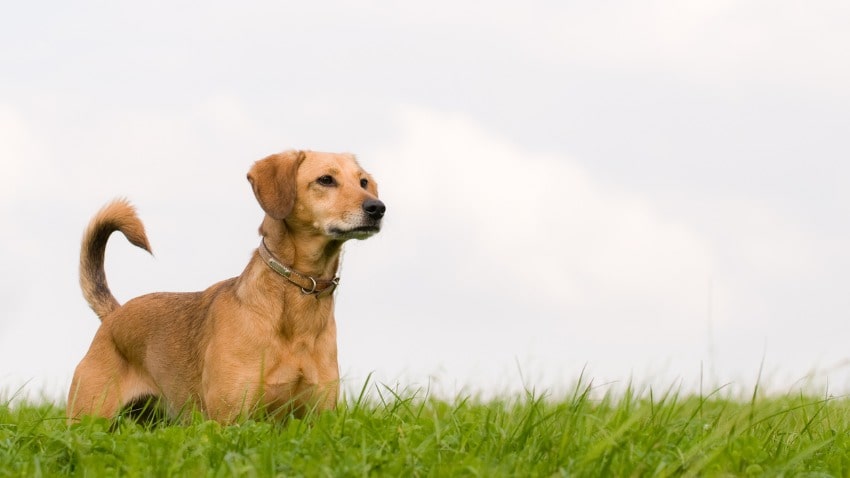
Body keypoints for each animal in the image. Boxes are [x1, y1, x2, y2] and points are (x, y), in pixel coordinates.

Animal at [66, 150, 384, 422]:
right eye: (326, 180)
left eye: (363, 182)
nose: (377, 208)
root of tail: (113, 315)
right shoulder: (228, 418)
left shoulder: (314, 419)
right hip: (89, 417)